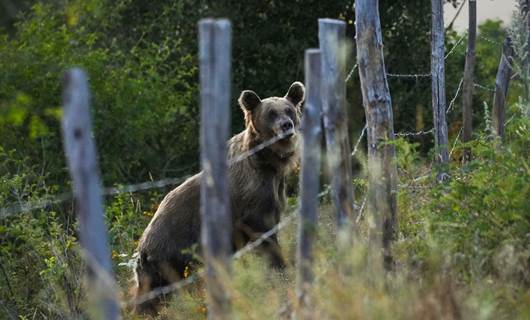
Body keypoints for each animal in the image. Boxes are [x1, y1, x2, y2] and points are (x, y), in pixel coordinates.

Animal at [133, 80, 306, 312]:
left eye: (288, 109)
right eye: (271, 113)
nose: (286, 125)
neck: (267, 161)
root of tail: (141, 245)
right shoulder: (252, 198)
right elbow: (264, 233)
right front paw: (280, 268)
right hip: (168, 255)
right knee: (154, 292)